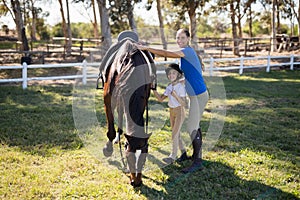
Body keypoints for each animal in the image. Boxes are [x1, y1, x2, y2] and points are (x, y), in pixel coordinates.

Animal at [99, 39, 156, 188]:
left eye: (144, 156)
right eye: (128, 155)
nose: (136, 182)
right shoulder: (108, 98)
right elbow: (110, 128)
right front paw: (108, 148)